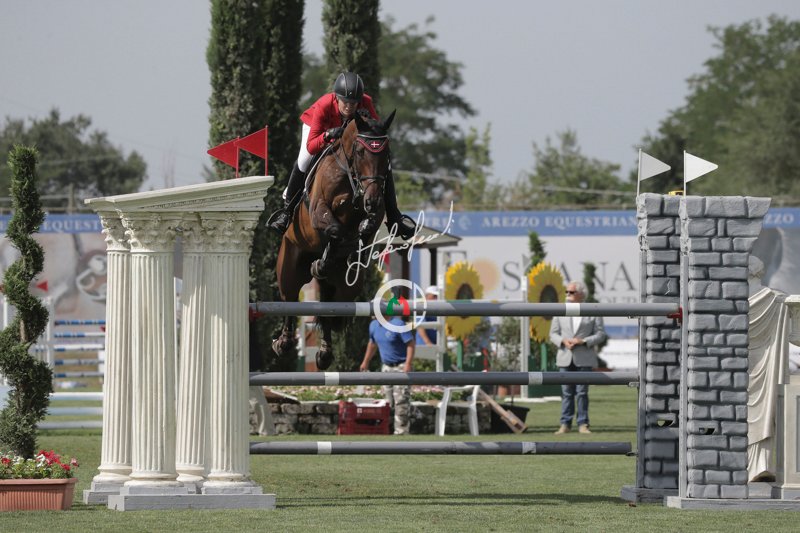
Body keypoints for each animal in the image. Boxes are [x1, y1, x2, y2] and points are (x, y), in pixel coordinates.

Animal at [272, 110, 396, 370]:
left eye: (386, 153)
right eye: (360, 152)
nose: (372, 200)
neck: (352, 176)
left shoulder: (377, 210)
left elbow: (367, 226)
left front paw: (351, 245)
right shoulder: (319, 209)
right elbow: (335, 229)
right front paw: (324, 260)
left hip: (344, 287)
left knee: (331, 307)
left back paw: (325, 353)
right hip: (289, 266)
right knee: (289, 298)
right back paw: (284, 342)